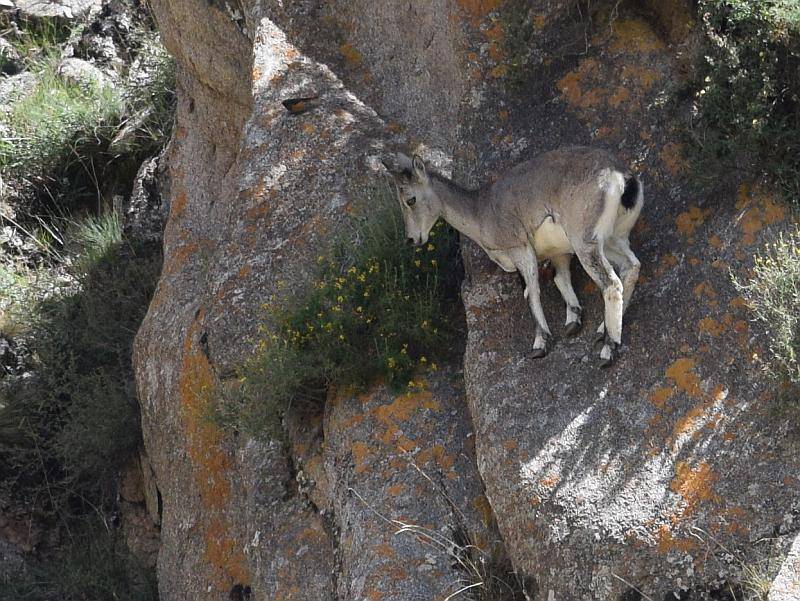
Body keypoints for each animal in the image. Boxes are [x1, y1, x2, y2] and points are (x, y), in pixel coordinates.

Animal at [382, 148, 644, 368]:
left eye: (410, 199)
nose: (412, 239)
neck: (480, 213)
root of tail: (623, 179)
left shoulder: (521, 249)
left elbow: (531, 292)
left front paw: (540, 344)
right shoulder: (558, 252)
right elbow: (560, 279)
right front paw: (572, 322)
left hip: (585, 241)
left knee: (611, 283)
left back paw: (608, 350)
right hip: (613, 239)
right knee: (631, 268)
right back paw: (604, 329)